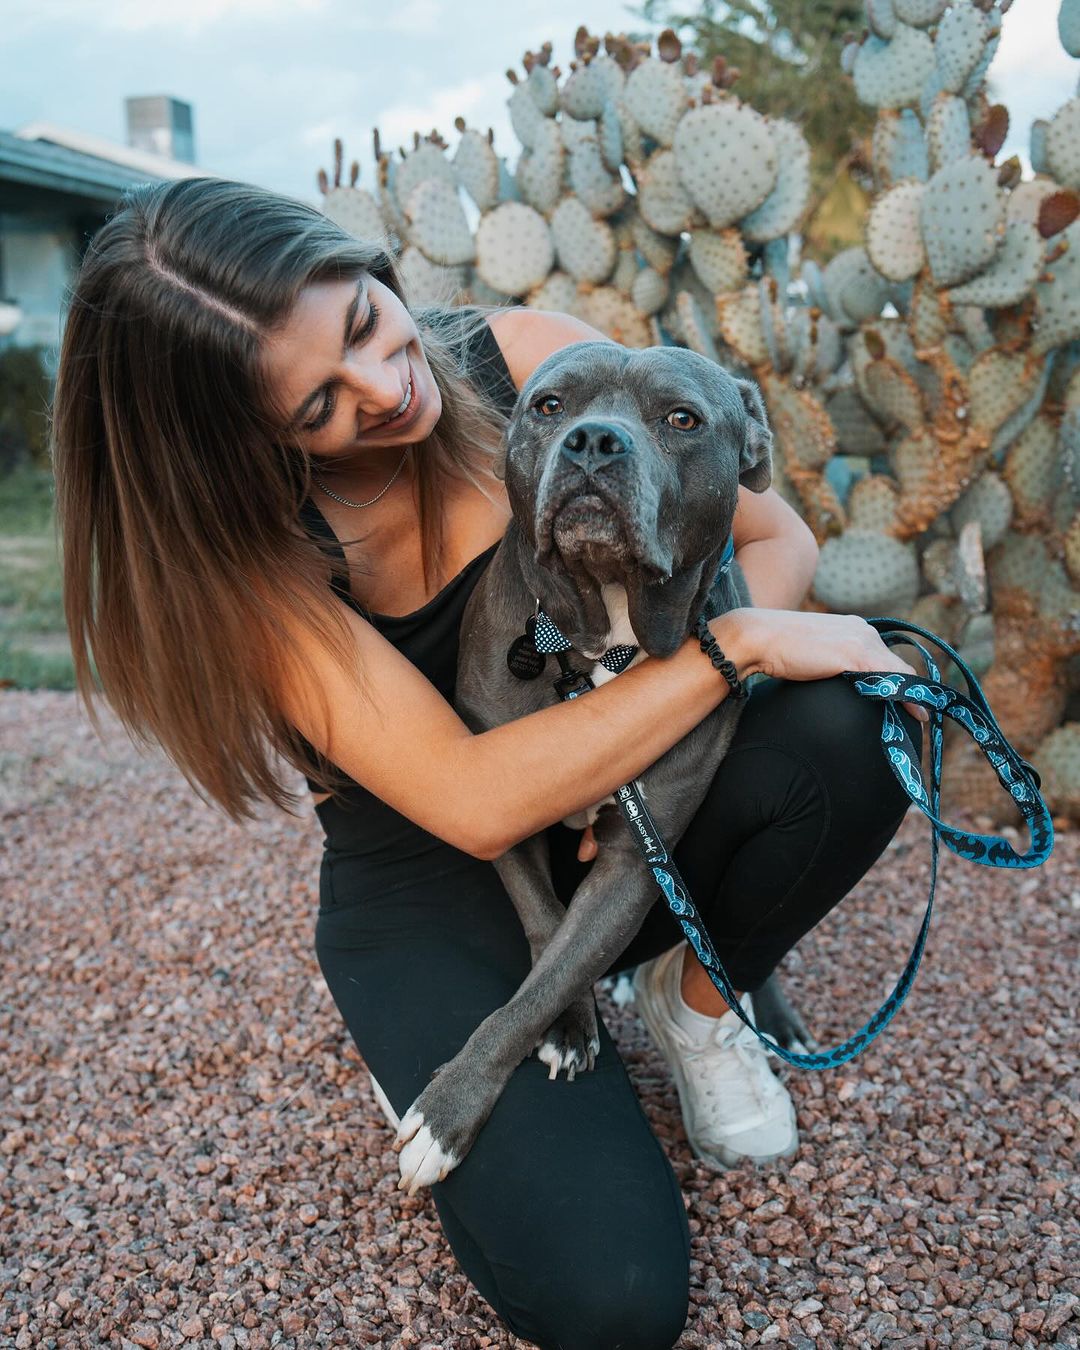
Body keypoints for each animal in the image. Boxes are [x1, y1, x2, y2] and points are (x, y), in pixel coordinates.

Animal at [394, 342, 810, 1198]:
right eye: (550, 405)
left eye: (681, 418)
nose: (592, 442)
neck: (606, 638)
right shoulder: (505, 815)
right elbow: (550, 937)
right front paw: (569, 1027)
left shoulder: (630, 863)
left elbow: (557, 964)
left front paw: (448, 1114)